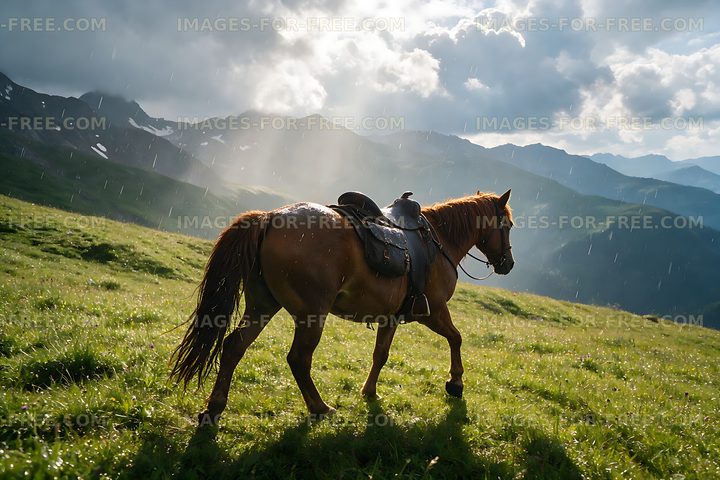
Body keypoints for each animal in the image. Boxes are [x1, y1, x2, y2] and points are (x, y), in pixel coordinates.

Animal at [171, 190, 514, 426]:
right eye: (508, 225)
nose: (508, 264)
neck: (439, 240)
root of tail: (269, 218)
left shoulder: (391, 317)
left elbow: (380, 354)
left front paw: (370, 392)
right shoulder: (432, 310)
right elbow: (456, 338)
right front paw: (455, 383)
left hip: (262, 305)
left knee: (233, 346)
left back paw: (214, 409)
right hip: (311, 314)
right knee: (298, 359)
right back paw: (319, 408)